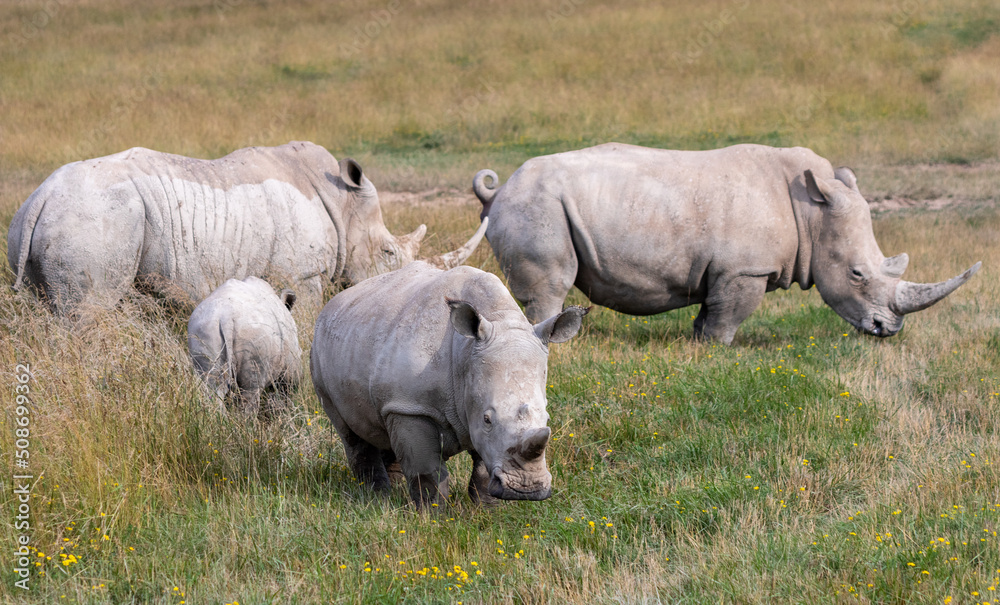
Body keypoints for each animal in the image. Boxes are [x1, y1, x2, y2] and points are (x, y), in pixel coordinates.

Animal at [7, 141, 486, 314]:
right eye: (389, 253)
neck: (343, 202)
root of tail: (43, 196)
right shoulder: (301, 274)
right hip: (97, 219)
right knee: (88, 312)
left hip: (39, 225)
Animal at [188, 276, 302, 418]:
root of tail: (226, 317)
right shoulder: (289, 362)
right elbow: (287, 387)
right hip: (253, 335)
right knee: (251, 391)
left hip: (204, 329)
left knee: (212, 387)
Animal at [310, 259, 587, 508]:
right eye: (488, 419)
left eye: (547, 418)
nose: (526, 490)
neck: (465, 354)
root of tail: (332, 303)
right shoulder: (412, 407)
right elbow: (427, 472)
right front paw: (431, 515)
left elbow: (482, 469)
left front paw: (486, 510)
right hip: (320, 353)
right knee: (350, 432)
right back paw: (376, 498)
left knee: (384, 426)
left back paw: (393, 491)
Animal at [473, 143, 980, 344]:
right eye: (857, 274)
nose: (887, 330)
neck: (812, 214)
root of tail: (498, 192)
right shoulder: (746, 269)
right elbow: (729, 315)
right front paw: (717, 350)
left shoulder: (725, 269)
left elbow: (710, 310)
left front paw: (697, 343)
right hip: (536, 205)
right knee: (551, 286)